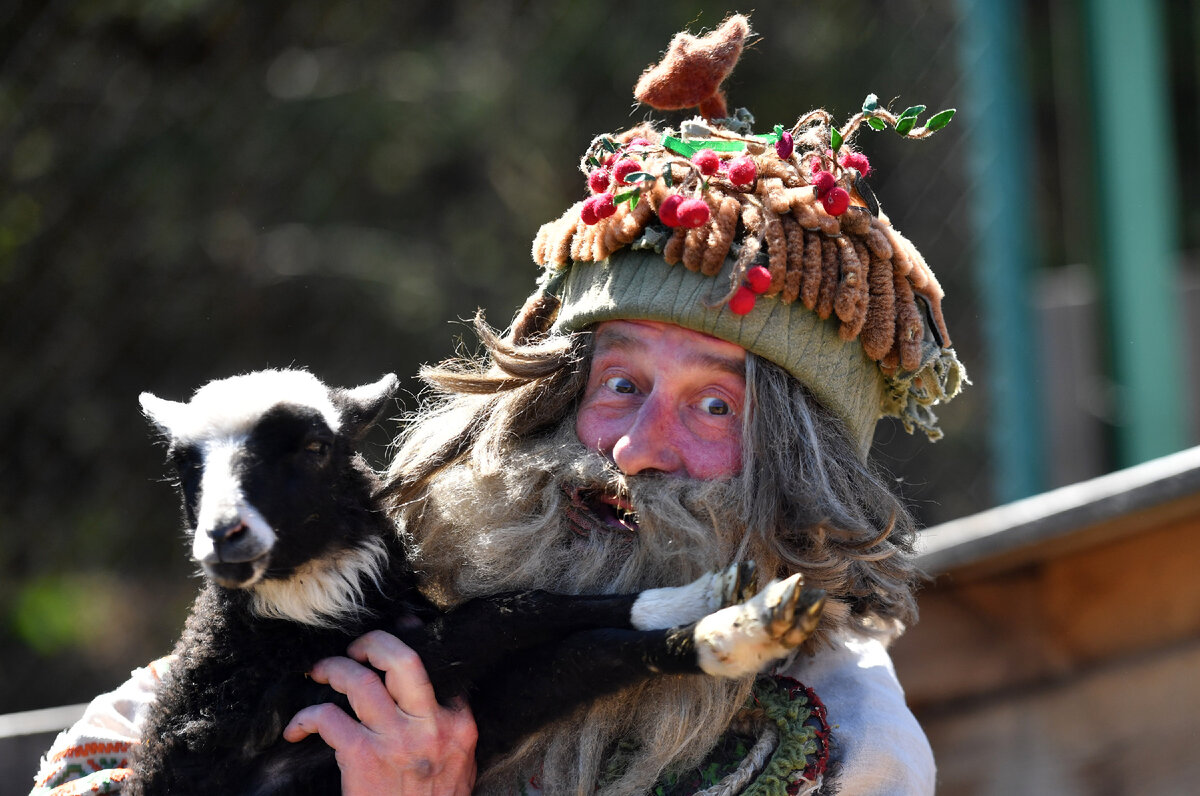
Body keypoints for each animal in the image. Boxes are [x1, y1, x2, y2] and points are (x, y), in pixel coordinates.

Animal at [131, 369, 825, 792]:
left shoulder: (462, 711)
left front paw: (728, 621)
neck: (303, 618)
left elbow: (582, 654)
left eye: (314, 448)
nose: (224, 536)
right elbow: (514, 614)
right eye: (183, 464)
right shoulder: (319, 702)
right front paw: (721, 613)